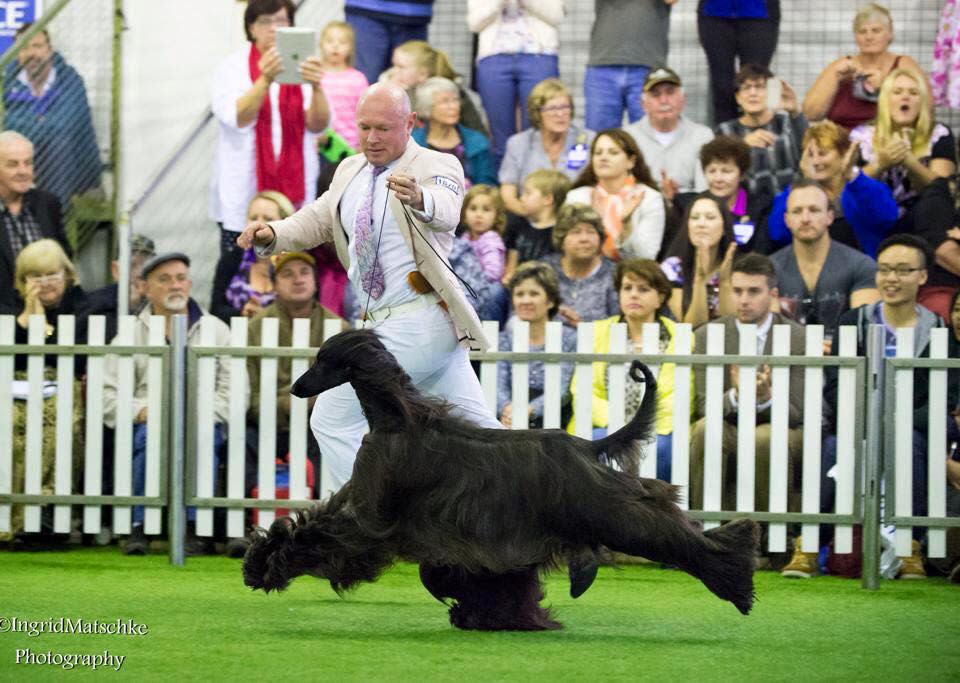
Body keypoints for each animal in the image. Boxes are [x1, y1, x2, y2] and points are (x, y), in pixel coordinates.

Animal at [244, 328, 760, 632]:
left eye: (323, 359)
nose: (296, 387)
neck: (395, 418)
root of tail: (584, 446)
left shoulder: (374, 516)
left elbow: (325, 536)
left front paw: (267, 568)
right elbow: (304, 523)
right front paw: (257, 559)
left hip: (605, 508)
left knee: (666, 531)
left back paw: (735, 580)